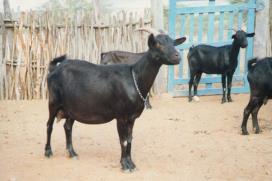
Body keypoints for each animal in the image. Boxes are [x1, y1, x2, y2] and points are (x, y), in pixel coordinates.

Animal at [45, 31, 186, 171]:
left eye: (173, 43)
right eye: (158, 44)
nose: (177, 56)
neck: (134, 78)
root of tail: (54, 69)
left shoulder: (132, 118)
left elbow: (129, 139)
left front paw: (131, 164)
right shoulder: (120, 116)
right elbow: (123, 141)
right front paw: (125, 165)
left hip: (72, 108)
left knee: (67, 127)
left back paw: (72, 153)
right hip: (53, 102)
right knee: (49, 125)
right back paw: (48, 152)